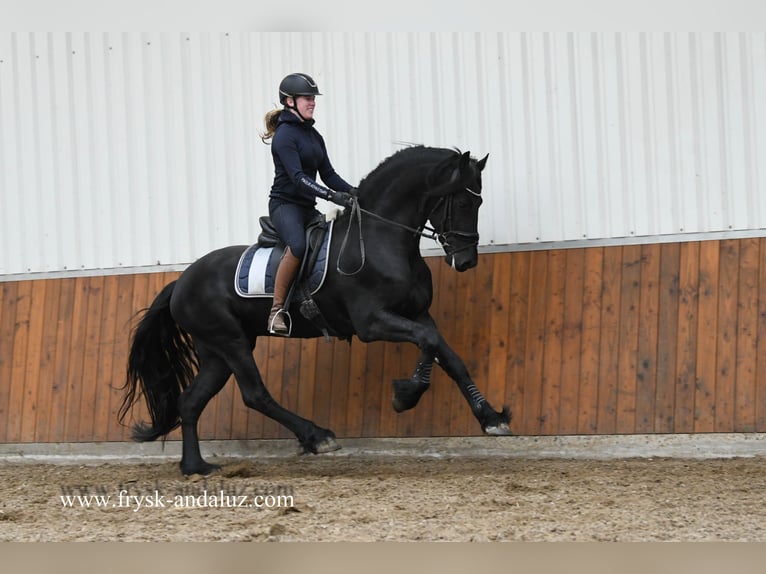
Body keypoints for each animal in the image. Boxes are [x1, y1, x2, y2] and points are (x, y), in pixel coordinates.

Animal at [120, 145, 512, 476]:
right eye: (462, 202)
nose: (466, 261)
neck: (381, 239)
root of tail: (181, 281)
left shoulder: (417, 314)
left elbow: (448, 356)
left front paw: (492, 418)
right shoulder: (372, 323)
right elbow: (427, 342)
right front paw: (406, 395)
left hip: (216, 351)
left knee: (190, 402)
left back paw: (195, 467)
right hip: (230, 342)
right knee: (255, 394)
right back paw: (318, 436)